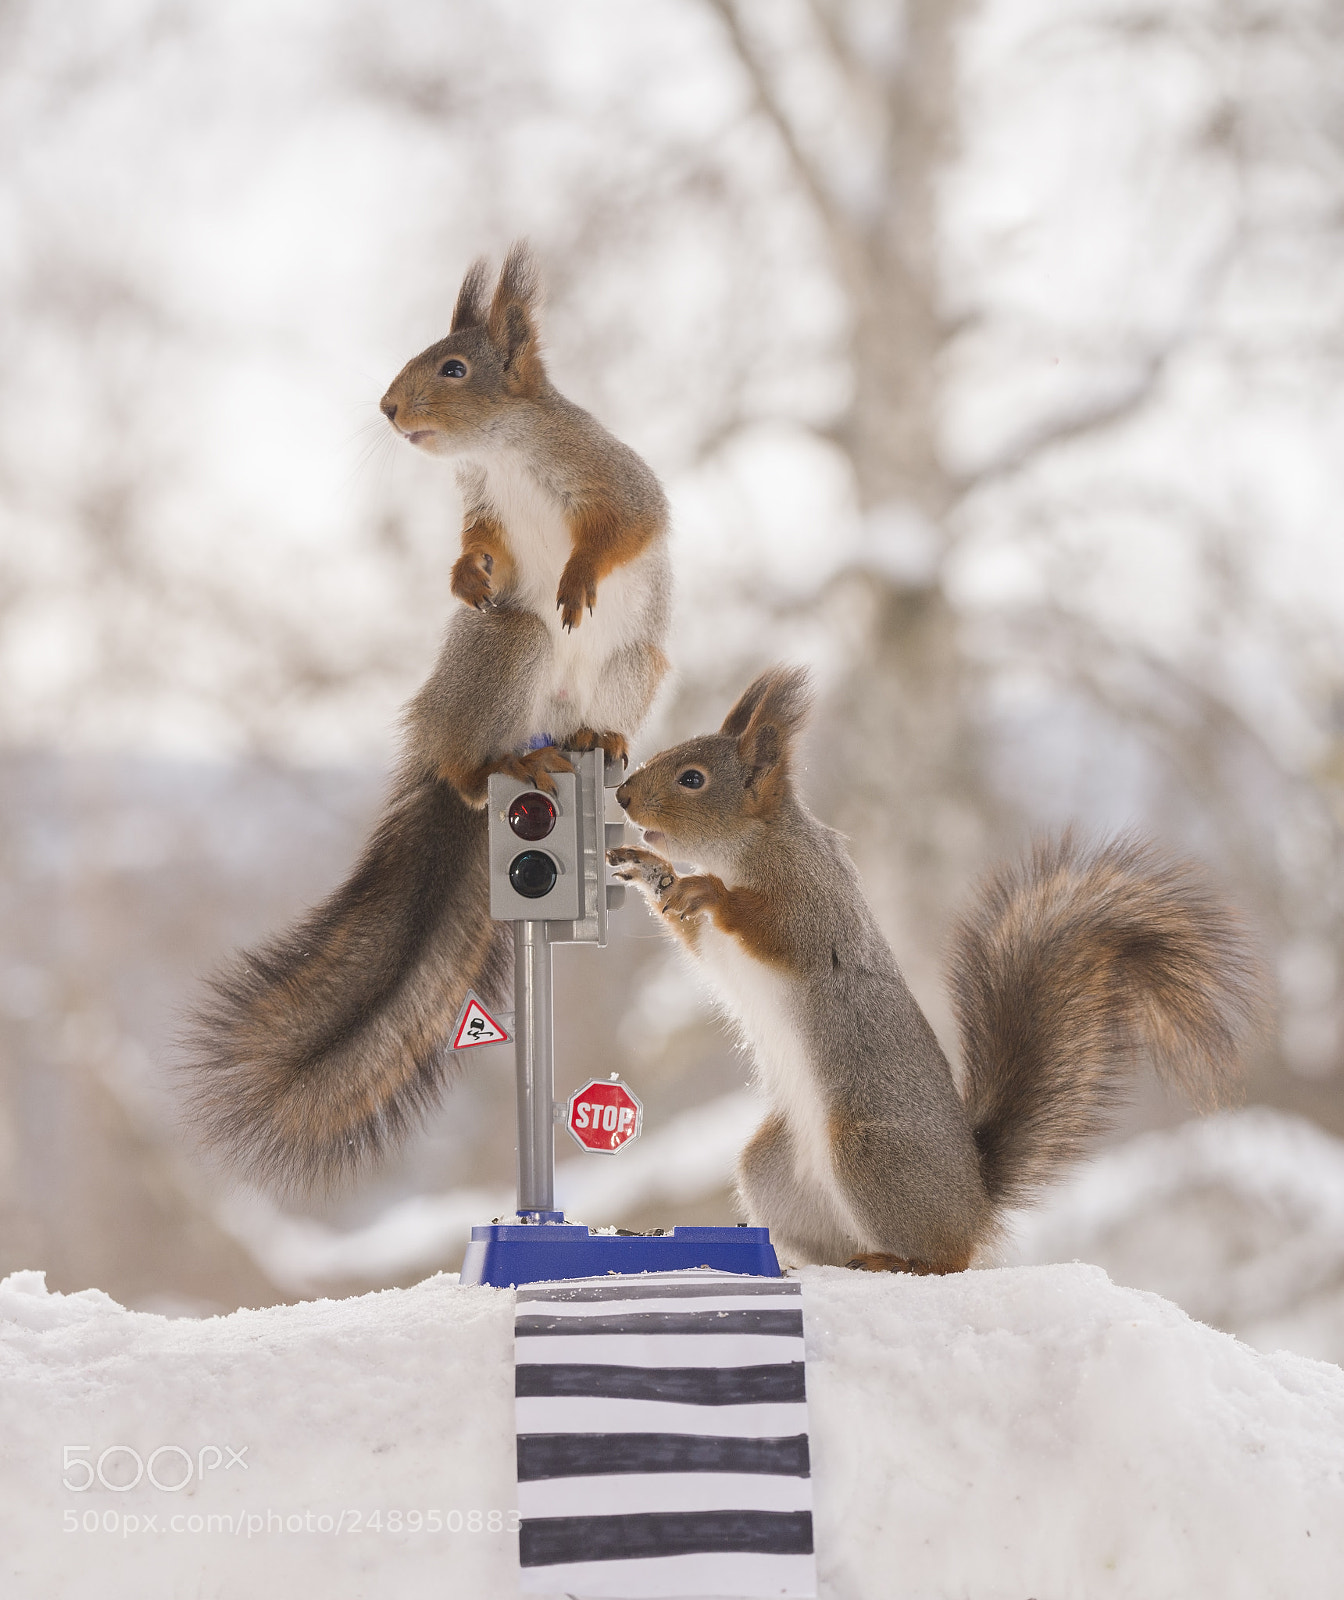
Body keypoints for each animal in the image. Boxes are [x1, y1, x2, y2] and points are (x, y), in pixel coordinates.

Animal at [186, 240, 668, 1190]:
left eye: (454, 368)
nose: (388, 407)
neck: (508, 449)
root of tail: (528, 736)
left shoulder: (612, 476)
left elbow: (627, 525)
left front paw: (578, 576)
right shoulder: (483, 504)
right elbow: (482, 548)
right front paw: (463, 577)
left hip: (628, 665)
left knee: (588, 712)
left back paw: (598, 737)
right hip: (504, 650)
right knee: (469, 753)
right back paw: (488, 768)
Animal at [614, 665, 1267, 1273]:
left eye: (692, 778)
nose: (621, 795)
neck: (750, 847)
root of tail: (975, 1201)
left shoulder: (815, 905)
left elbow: (781, 932)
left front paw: (705, 887)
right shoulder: (717, 944)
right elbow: (697, 939)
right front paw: (649, 869)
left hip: (870, 1150)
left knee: (947, 1257)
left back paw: (901, 1260)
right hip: (774, 1168)